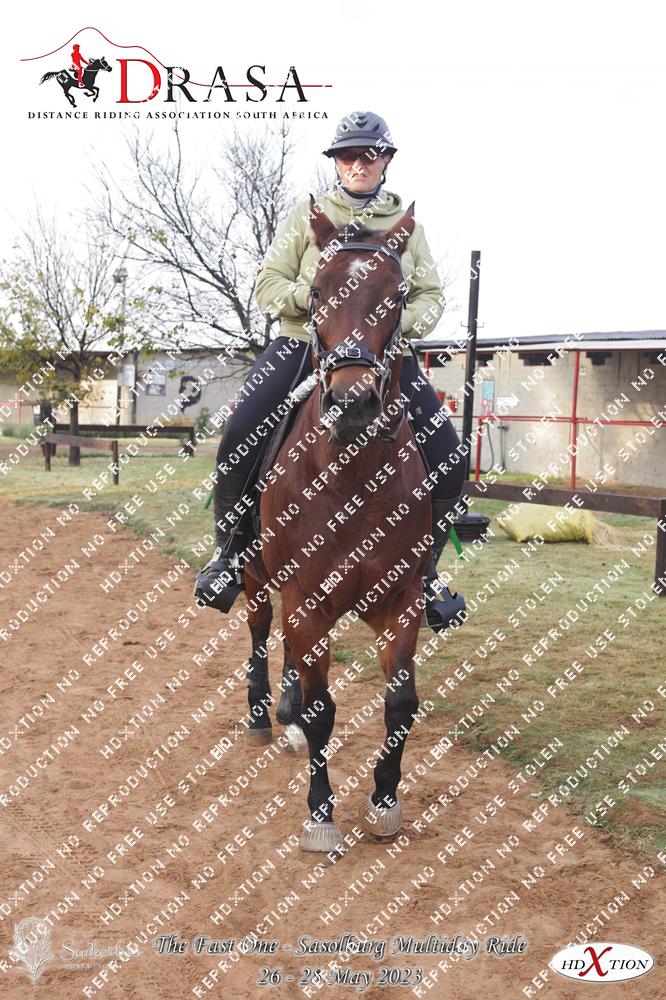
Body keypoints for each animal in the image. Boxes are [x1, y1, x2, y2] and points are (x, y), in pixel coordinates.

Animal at [241, 197, 434, 852]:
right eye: (318, 291)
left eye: (397, 295)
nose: (353, 404)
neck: (353, 478)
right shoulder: (306, 601)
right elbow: (323, 709)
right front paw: (321, 814)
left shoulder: (401, 599)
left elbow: (400, 704)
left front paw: (384, 802)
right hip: (256, 577)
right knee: (259, 628)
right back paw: (262, 713)